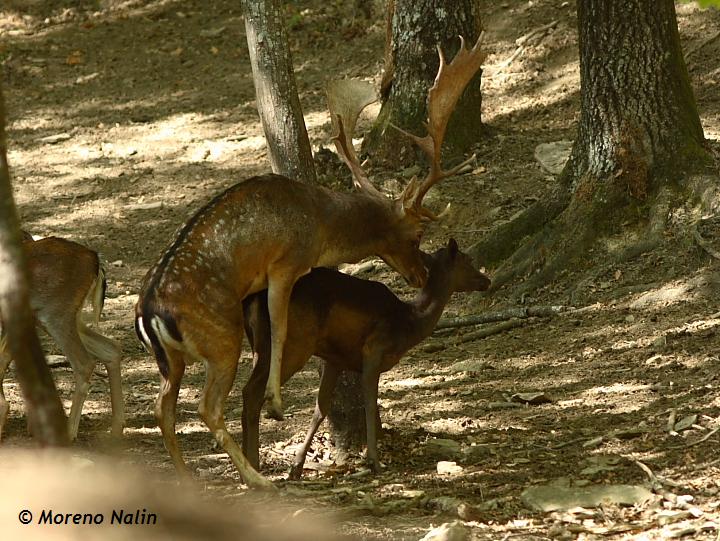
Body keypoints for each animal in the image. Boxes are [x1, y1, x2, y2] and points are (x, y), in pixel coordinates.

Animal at [0, 235, 124, 438]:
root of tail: (95, 260)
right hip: (64, 317)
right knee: (111, 348)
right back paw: (115, 431)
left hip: (55, 314)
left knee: (85, 362)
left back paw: (68, 433)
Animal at [242, 238, 490, 474]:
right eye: (467, 259)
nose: (486, 280)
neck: (409, 323)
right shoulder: (374, 349)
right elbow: (370, 404)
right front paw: (374, 461)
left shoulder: (335, 359)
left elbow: (320, 408)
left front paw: (297, 466)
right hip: (296, 343)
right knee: (254, 391)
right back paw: (252, 463)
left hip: (259, 347)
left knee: (248, 390)